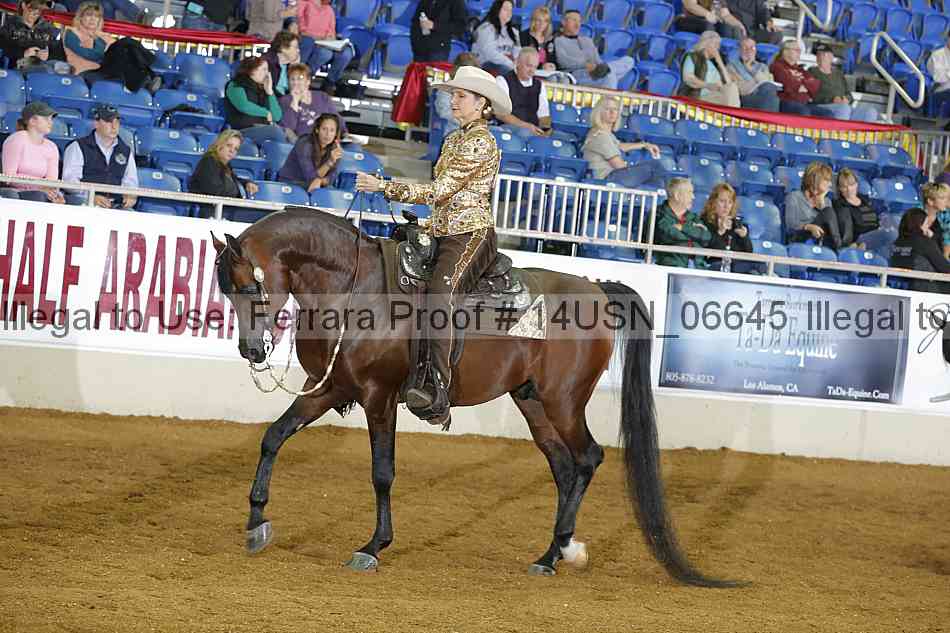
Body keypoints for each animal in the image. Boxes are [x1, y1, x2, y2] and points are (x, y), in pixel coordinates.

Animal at [211, 206, 736, 586]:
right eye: (226, 290)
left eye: (248, 285)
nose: (250, 349)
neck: (355, 290)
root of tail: (596, 287)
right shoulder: (326, 388)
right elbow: (273, 436)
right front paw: (256, 521)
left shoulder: (380, 397)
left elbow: (382, 473)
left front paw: (372, 547)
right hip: (532, 401)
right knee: (564, 468)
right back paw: (548, 556)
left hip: (564, 400)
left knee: (588, 458)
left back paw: (567, 545)